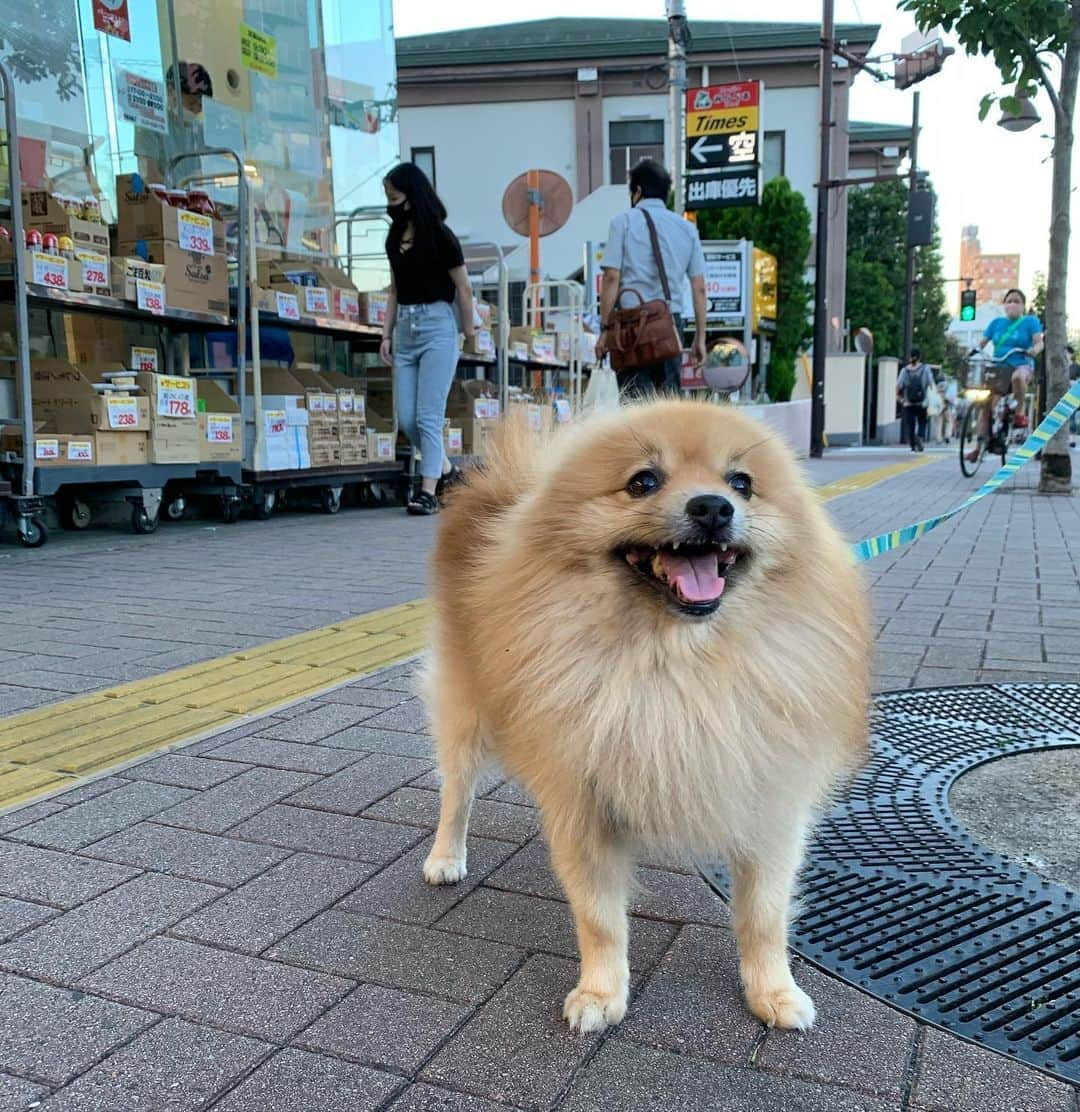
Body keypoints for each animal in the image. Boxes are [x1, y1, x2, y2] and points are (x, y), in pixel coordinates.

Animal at [420, 400, 872, 1031]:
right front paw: (600, 993)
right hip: (464, 712)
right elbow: (600, 917)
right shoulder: (581, 805)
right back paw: (445, 856)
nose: (712, 506)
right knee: (456, 792)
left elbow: (764, 915)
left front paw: (774, 991)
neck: (676, 668)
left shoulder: (767, 798)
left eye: (742, 483)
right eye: (643, 482)